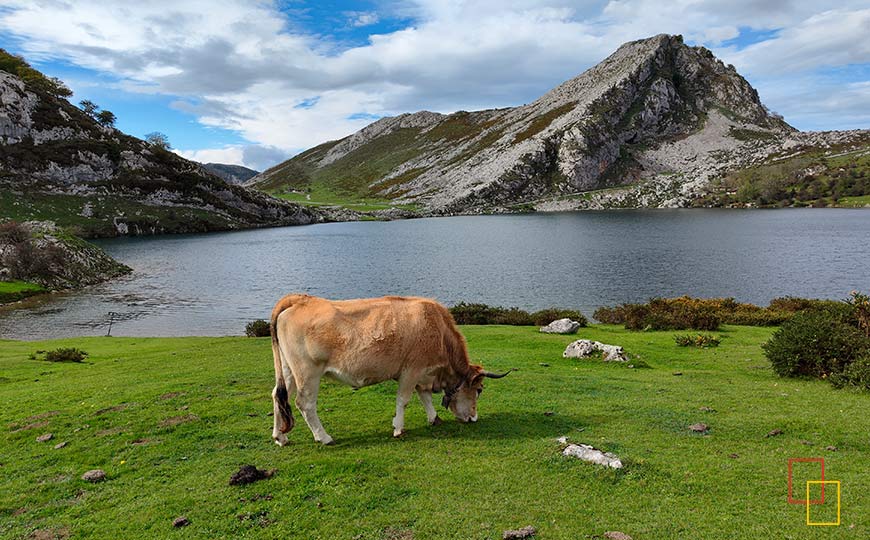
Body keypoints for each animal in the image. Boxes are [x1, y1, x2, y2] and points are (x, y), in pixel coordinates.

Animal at [270, 294, 510, 446]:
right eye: (479, 390)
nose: (474, 418)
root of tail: (299, 299)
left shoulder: (422, 374)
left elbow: (424, 397)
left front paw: (434, 418)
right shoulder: (411, 370)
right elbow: (404, 400)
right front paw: (398, 428)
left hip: (288, 370)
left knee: (278, 395)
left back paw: (280, 437)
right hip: (308, 372)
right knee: (304, 403)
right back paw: (324, 437)